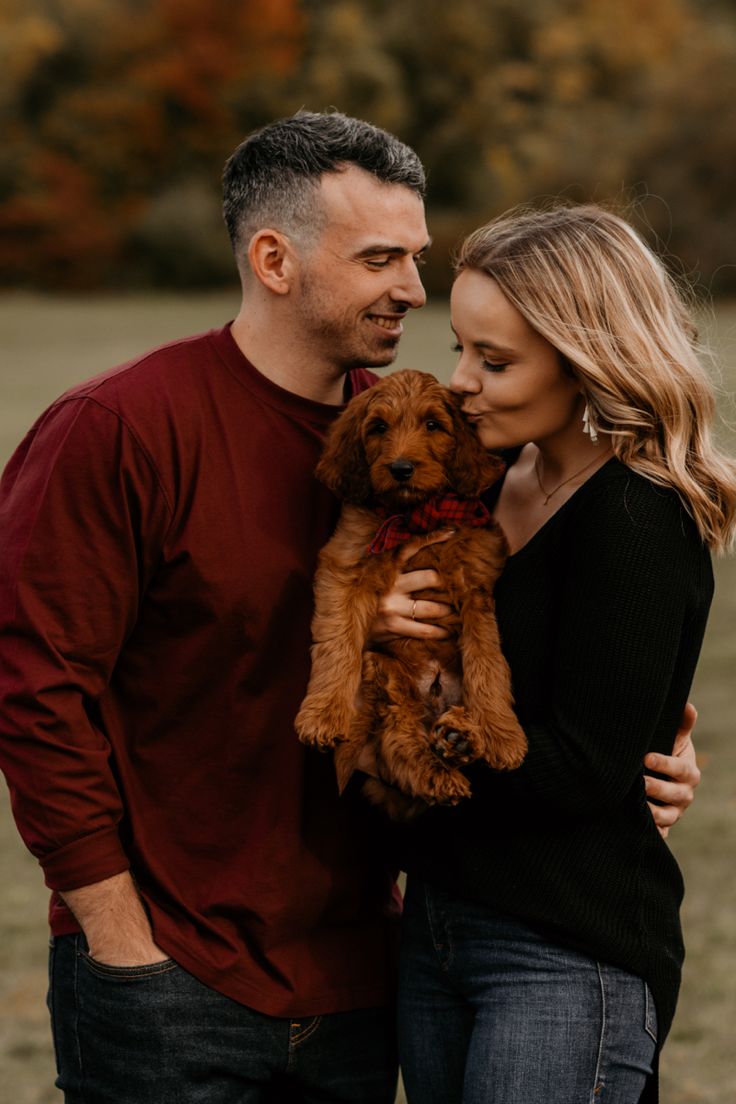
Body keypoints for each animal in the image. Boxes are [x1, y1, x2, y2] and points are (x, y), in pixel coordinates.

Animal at [295, 370, 527, 821]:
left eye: (433, 425)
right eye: (378, 428)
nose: (401, 468)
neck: (415, 517)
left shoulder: (475, 587)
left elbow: (489, 664)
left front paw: (502, 734)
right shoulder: (343, 569)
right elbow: (337, 646)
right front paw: (322, 713)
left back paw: (461, 735)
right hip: (384, 673)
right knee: (398, 738)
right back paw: (436, 772)